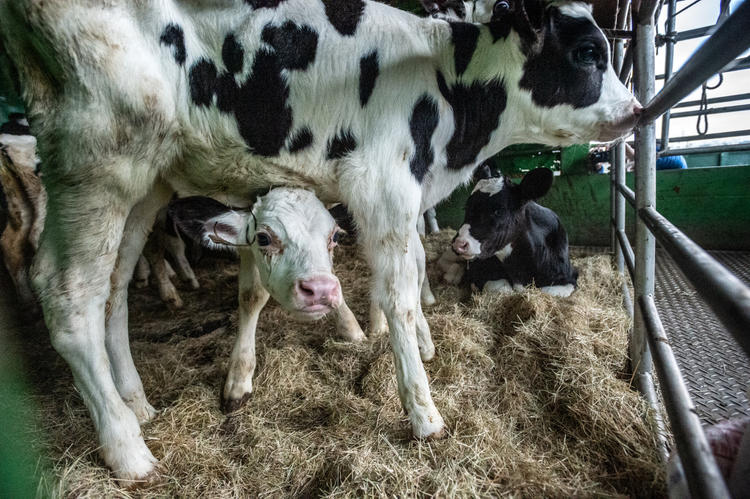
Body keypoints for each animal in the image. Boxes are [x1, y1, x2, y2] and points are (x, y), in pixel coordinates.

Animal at [171, 189, 370, 412]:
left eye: (335, 236)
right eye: (263, 238)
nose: (321, 290)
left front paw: (353, 332)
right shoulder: (247, 251)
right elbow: (252, 295)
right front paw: (239, 378)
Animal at [452, 166, 580, 298]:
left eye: (499, 211)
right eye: (466, 207)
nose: (459, 243)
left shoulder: (567, 278)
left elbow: (546, 292)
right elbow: (501, 289)